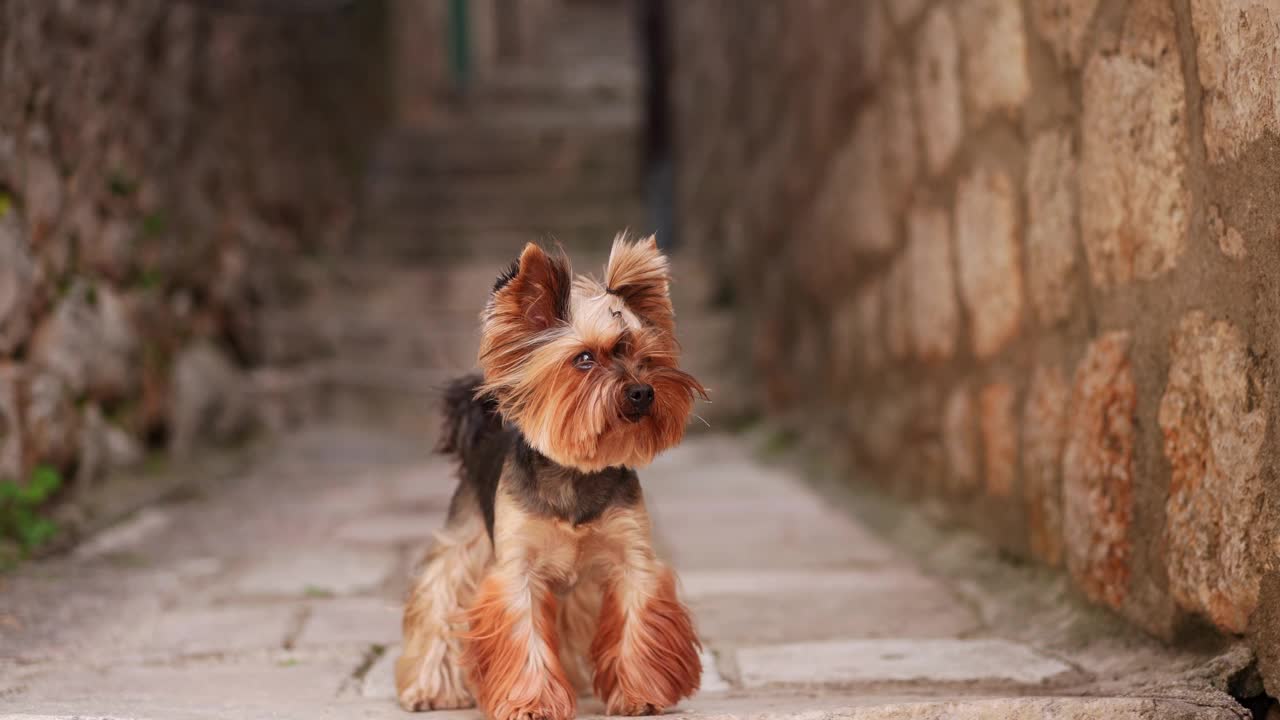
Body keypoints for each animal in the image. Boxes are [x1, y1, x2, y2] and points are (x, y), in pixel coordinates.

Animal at [394, 235, 706, 717]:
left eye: (645, 356)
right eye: (584, 359)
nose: (642, 391)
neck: (576, 473)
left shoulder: (630, 556)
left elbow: (635, 618)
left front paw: (639, 695)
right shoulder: (516, 570)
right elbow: (524, 636)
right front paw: (531, 703)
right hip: (465, 537)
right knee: (440, 596)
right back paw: (430, 688)